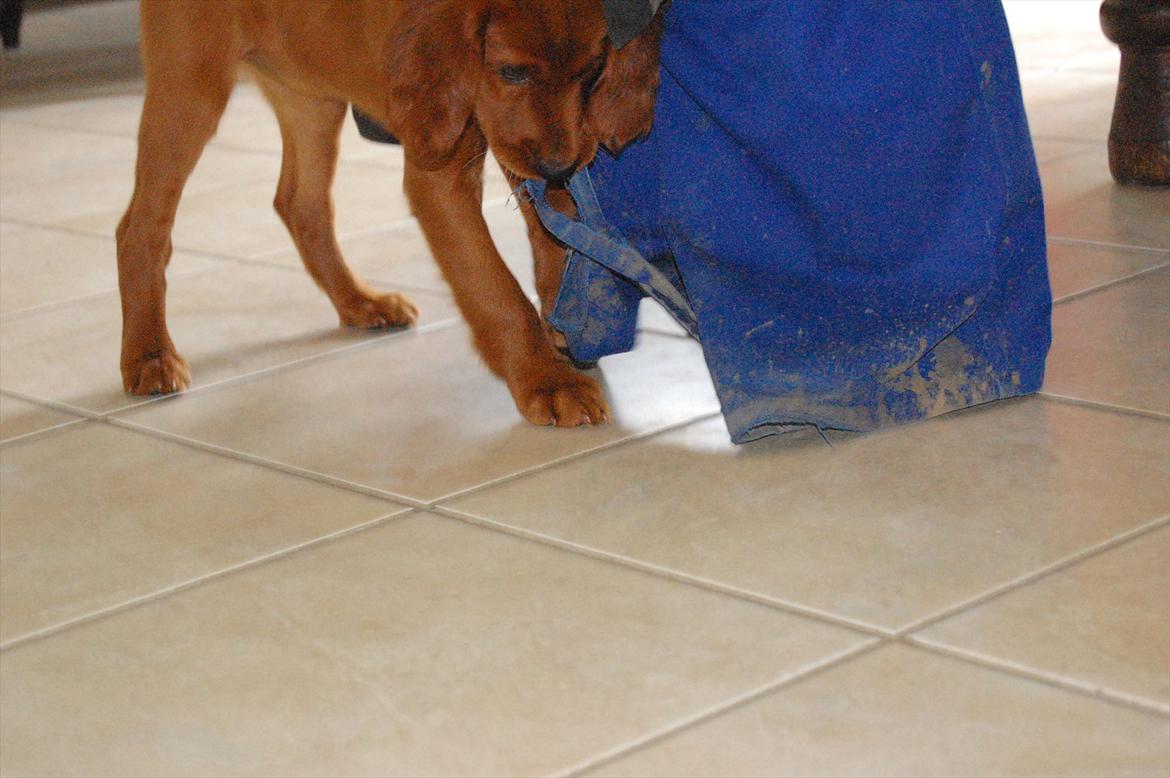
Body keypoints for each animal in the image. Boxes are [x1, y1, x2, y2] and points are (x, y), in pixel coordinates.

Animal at [118, 0, 669, 425]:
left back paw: (360, 303)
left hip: (312, 94)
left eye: (591, 72)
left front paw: (565, 323)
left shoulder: (521, 145)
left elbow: (554, 235)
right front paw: (548, 381)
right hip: (191, 86)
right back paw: (150, 354)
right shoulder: (440, 169)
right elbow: (494, 288)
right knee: (140, 226)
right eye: (512, 71)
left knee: (300, 204)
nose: (559, 166)